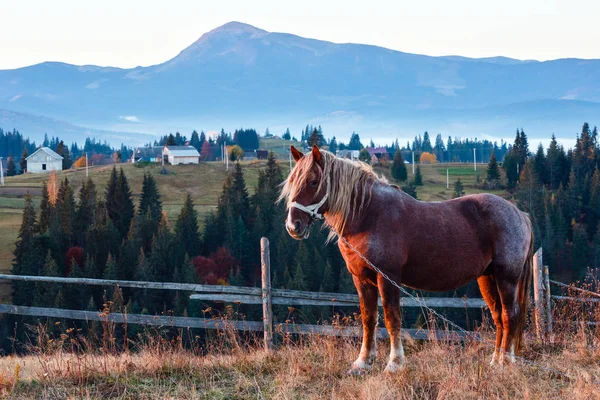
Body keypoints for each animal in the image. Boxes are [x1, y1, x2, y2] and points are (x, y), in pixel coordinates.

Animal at [278, 145, 532, 374]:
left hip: (507, 278)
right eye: (292, 181)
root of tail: (519, 213)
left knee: (510, 315)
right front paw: (363, 363)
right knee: (498, 317)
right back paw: (495, 361)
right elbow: (369, 319)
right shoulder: (361, 279)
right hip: (487, 278)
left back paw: (506, 363)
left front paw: (395, 364)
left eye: (313, 182)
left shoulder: (387, 277)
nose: (293, 226)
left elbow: (392, 318)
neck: (369, 216)